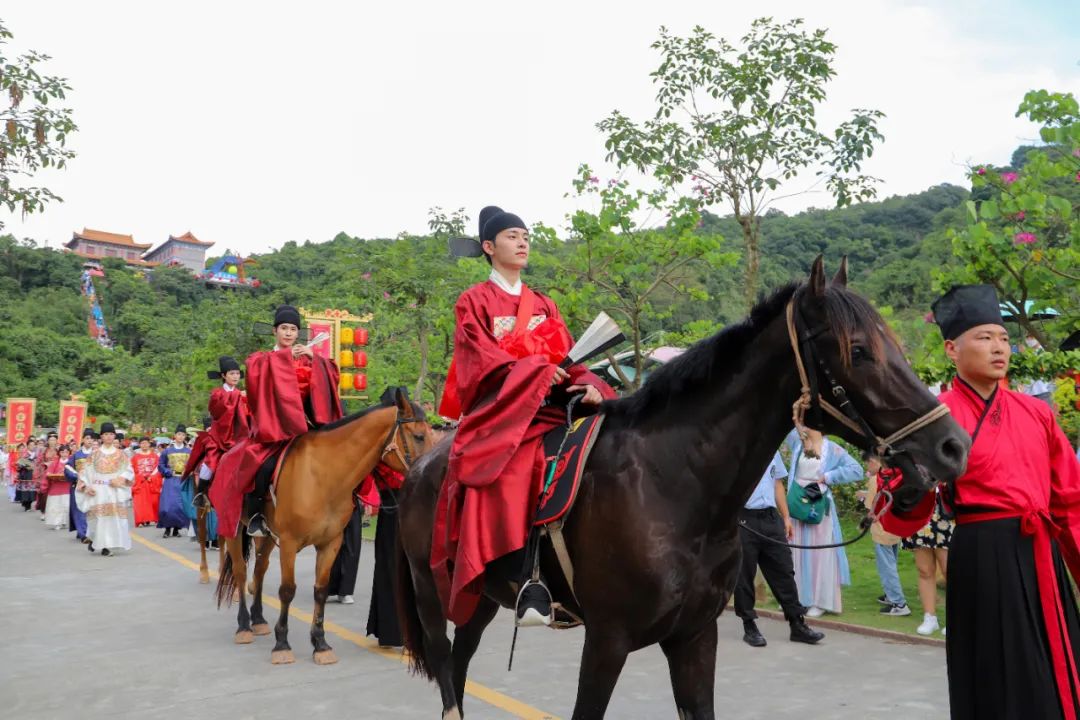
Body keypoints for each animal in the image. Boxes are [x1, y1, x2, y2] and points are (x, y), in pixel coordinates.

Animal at [212, 388, 432, 664]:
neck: (324, 476)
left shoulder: (331, 543)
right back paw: (243, 626)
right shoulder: (289, 542)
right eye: (419, 436)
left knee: (259, 570)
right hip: (232, 526)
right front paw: (282, 644)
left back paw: (259, 619)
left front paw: (320, 643)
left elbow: (320, 590)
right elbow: (287, 590)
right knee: (241, 571)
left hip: (266, 536)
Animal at [397, 259, 972, 720]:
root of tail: (422, 465)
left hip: (478, 593)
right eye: (859, 350)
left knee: (462, 660)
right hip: (432, 589)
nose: (952, 445)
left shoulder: (695, 636)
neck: (674, 489)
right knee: (446, 662)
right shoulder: (606, 640)